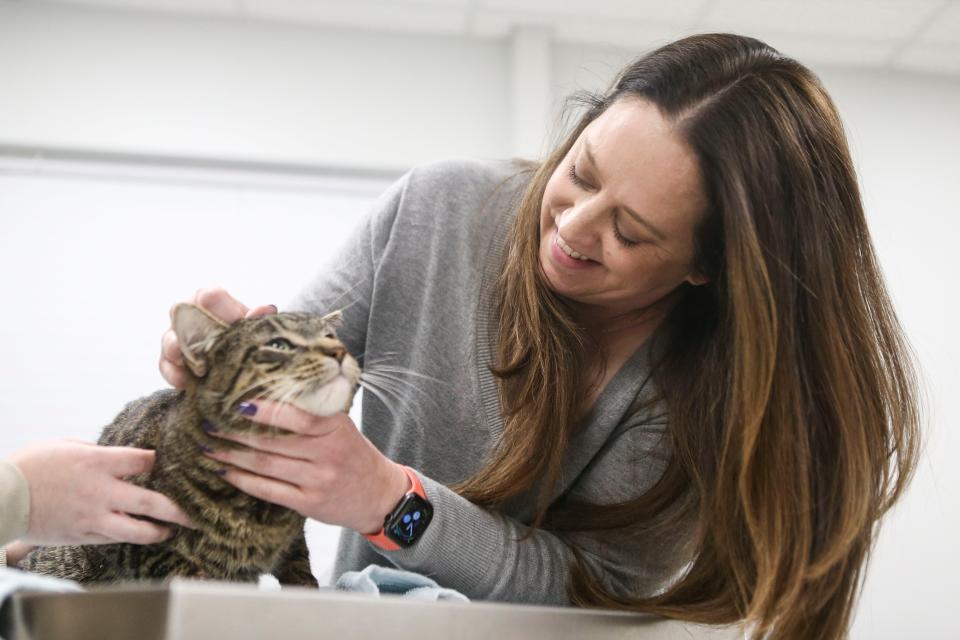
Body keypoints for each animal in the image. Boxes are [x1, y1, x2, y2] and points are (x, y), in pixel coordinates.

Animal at [18, 304, 360, 584]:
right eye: (279, 344)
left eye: (331, 336)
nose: (338, 351)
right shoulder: (130, 540)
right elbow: (186, 572)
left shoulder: (294, 541)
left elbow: (301, 571)